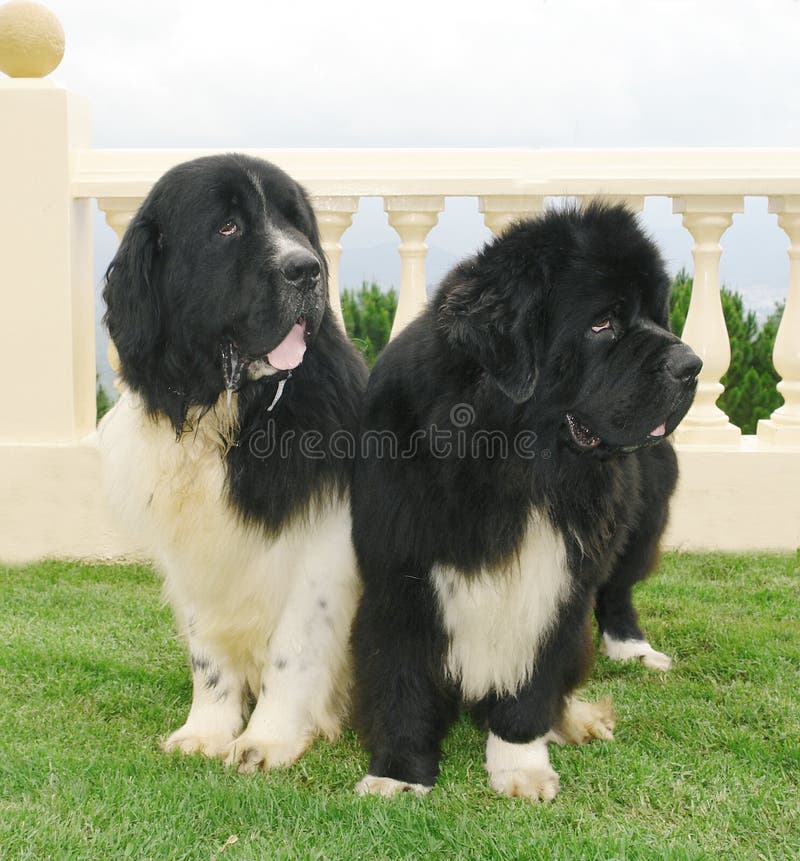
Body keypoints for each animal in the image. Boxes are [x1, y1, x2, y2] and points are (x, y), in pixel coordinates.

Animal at [97, 156, 368, 772]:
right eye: (227, 228)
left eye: (296, 224)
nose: (307, 269)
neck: (230, 414)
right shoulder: (194, 549)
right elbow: (208, 653)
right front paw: (206, 731)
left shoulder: (320, 547)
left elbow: (293, 650)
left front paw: (268, 740)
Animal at [352, 203, 700, 800]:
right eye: (602, 323)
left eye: (659, 316)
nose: (692, 364)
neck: (515, 464)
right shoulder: (400, 570)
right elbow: (403, 677)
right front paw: (397, 772)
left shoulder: (557, 577)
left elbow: (533, 678)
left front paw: (520, 763)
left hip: (644, 519)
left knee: (618, 591)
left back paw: (625, 656)